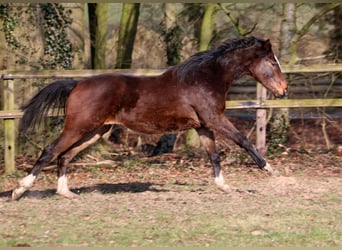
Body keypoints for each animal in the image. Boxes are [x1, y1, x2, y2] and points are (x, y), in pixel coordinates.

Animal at [12, 37, 288, 200]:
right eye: (273, 62)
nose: (284, 90)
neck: (205, 78)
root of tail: (77, 84)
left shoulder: (203, 126)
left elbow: (214, 156)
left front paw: (224, 186)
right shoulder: (216, 120)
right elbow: (244, 141)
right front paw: (275, 173)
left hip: (96, 131)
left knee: (65, 156)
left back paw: (66, 193)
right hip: (78, 127)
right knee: (50, 150)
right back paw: (19, 190)